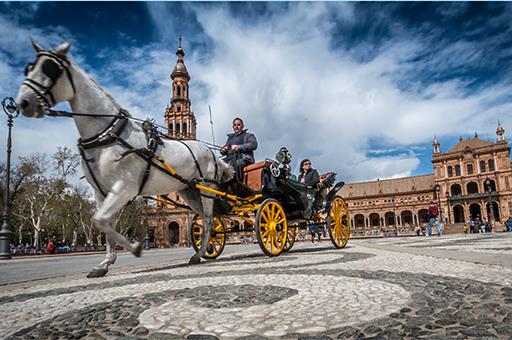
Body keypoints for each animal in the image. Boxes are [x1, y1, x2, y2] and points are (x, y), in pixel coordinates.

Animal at [15, 41, 232, 278]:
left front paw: (134, 248)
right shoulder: (101, 192)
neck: (108, 133)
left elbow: (101, 221)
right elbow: (104, 223)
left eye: (50, 69)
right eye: (29, 68)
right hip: (190, 191)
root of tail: (212, 154)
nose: (23, 102)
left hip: (205, 189)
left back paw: (198, 254)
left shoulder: (125, 187)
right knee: (204, 220)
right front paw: (105, 263)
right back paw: (205, 249)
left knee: (209, 220)